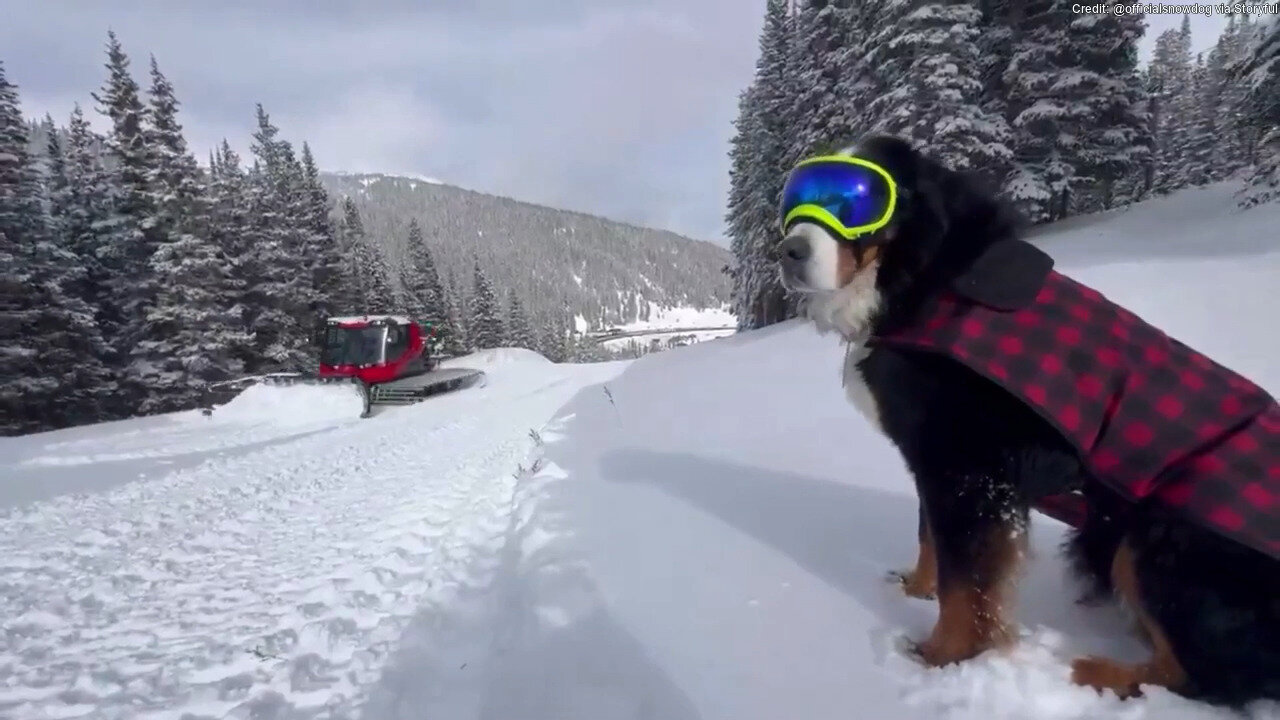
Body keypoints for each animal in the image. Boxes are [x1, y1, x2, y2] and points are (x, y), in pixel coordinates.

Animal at [768, 133, 1280, 702]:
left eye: (856, 200)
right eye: (796, 200)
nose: (787, 250)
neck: (928, 280)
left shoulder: (967, 464)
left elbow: (966, 581)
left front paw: (943, 657)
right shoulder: (933, 458)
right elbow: (932, 539)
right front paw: (917, 588)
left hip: (1159, 540)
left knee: (1206, 673)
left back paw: (1093, 673)